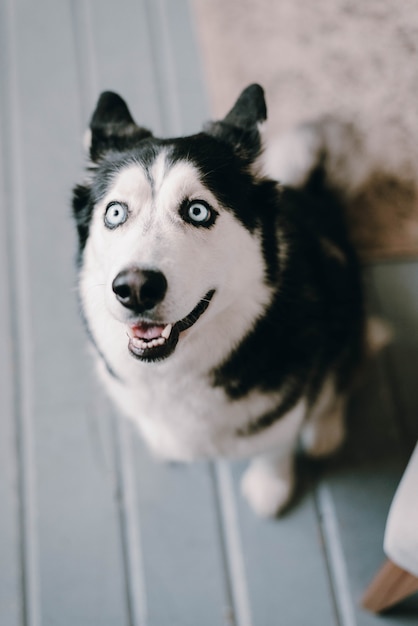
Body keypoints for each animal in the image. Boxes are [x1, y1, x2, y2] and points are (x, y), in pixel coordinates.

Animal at [73, 88, 364, 516]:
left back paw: (325, 430)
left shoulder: (283, 409)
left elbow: (275, 445)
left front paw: (270, 485)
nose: (136, 288)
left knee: (343, 370)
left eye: (197, 211)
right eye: (115, 212)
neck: (176, 372)